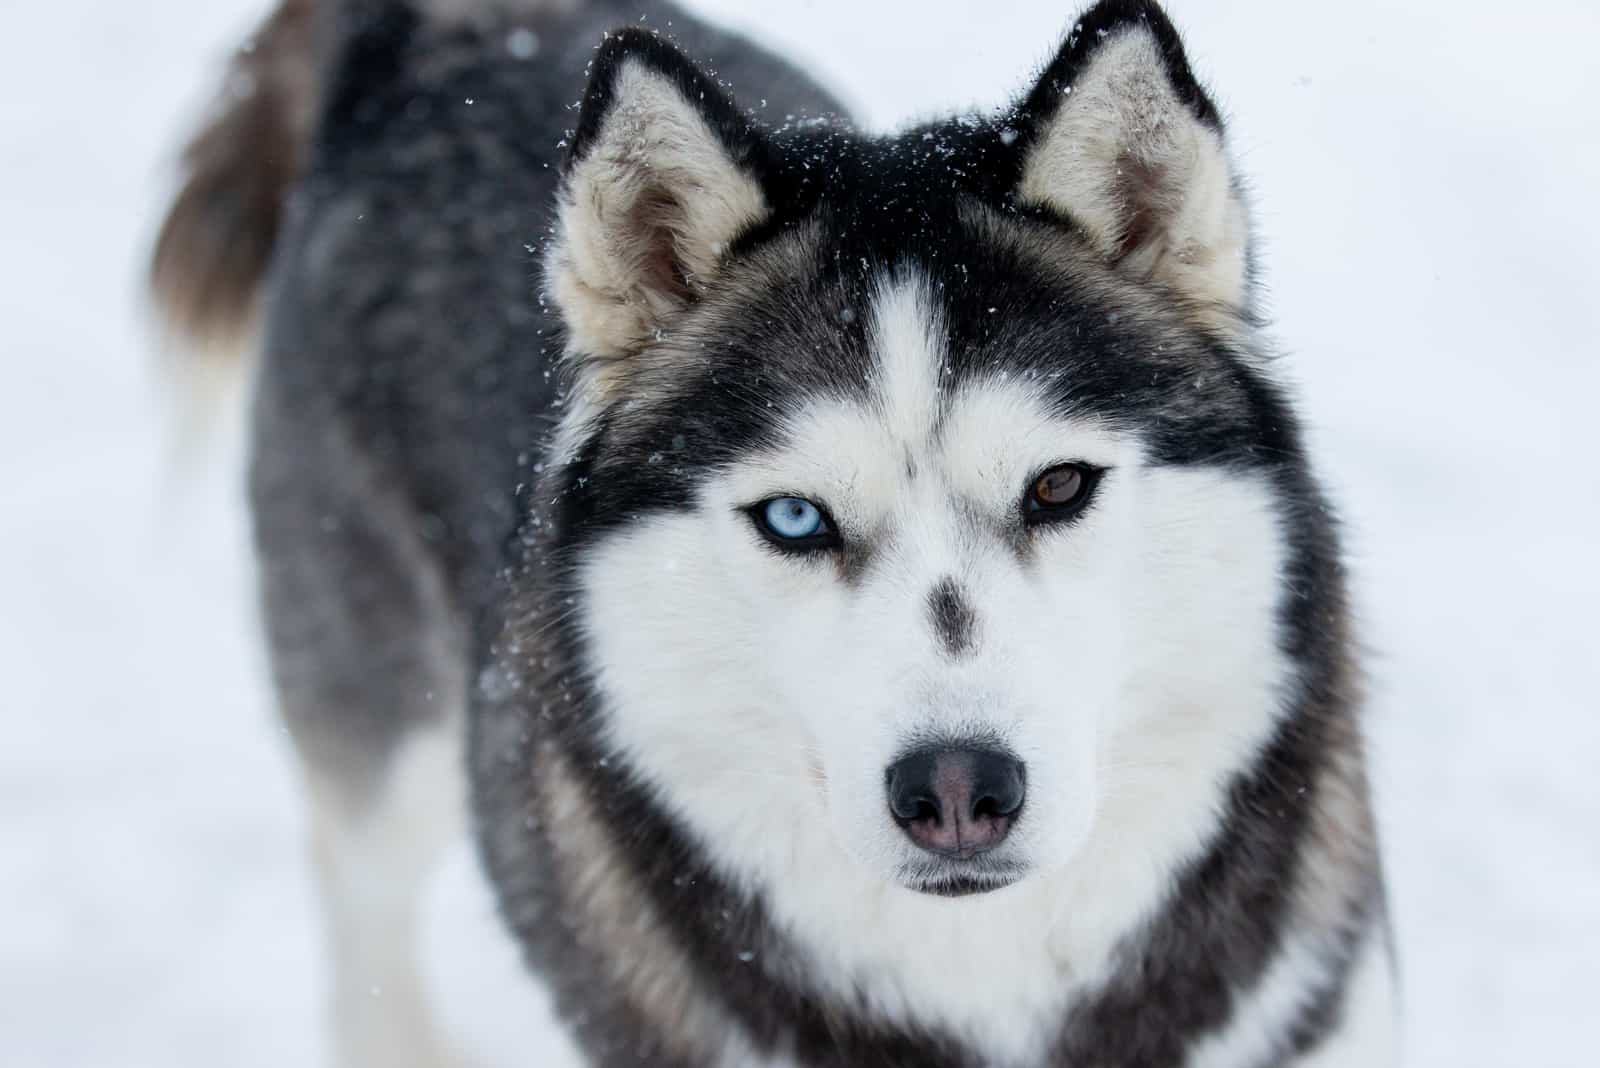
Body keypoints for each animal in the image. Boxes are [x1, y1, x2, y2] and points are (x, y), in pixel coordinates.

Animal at [152, 2, 1401, 1068]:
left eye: (1056, 486)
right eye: (795, 517)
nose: (958, 792)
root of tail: (428, 33)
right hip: (387, 716)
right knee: (358, 888)